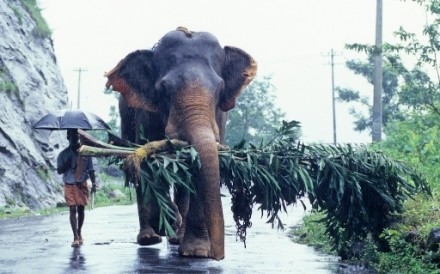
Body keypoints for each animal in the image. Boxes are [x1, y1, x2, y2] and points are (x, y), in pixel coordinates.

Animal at [104, 26, 256, 260]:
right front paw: (168, 221)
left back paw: (177, 238)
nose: (218, 256)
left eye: (220, 88)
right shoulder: (147, 116)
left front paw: (196, 252)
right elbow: (150, 164)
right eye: (164, 89)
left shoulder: (220, 118)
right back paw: (150, 238)